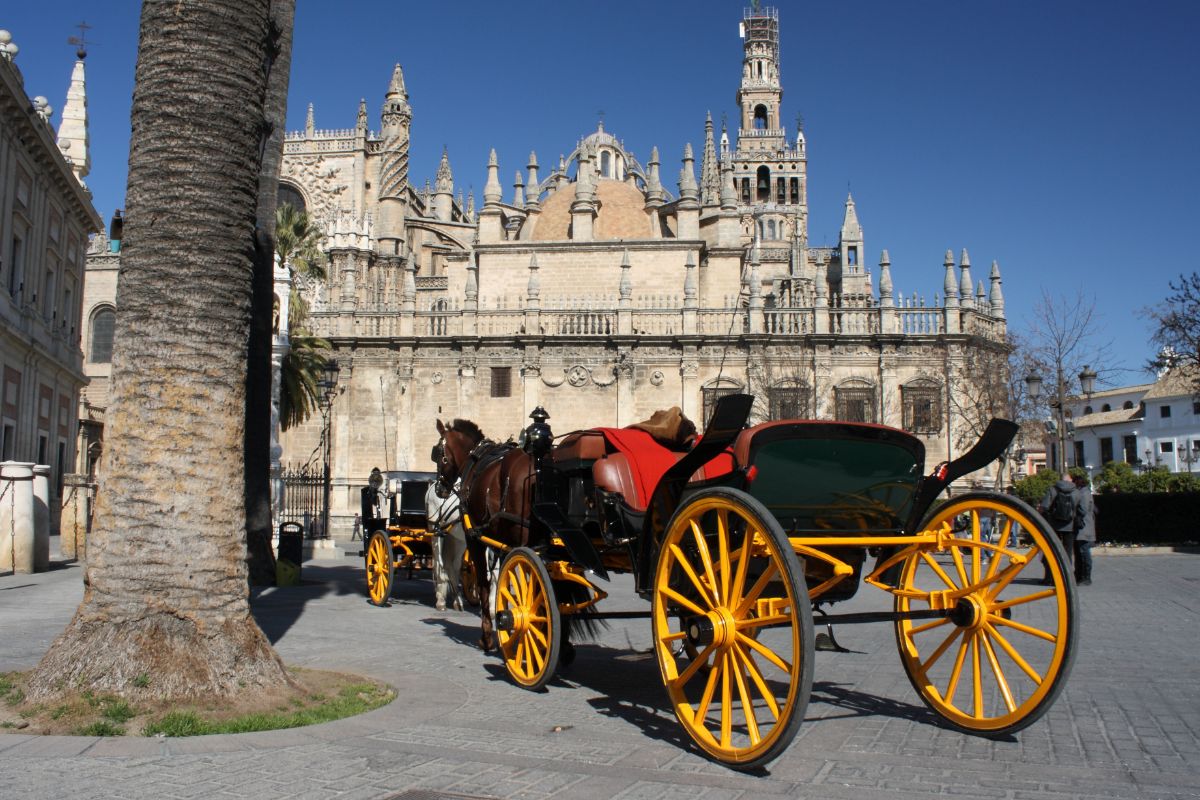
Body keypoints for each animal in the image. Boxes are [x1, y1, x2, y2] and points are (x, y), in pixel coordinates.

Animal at [424, 482, 465, 614]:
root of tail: (433, 485)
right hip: (436, 532)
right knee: (440, 565)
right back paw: (441, 601)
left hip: (458, 539)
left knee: (453, 566)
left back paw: (457, 600)